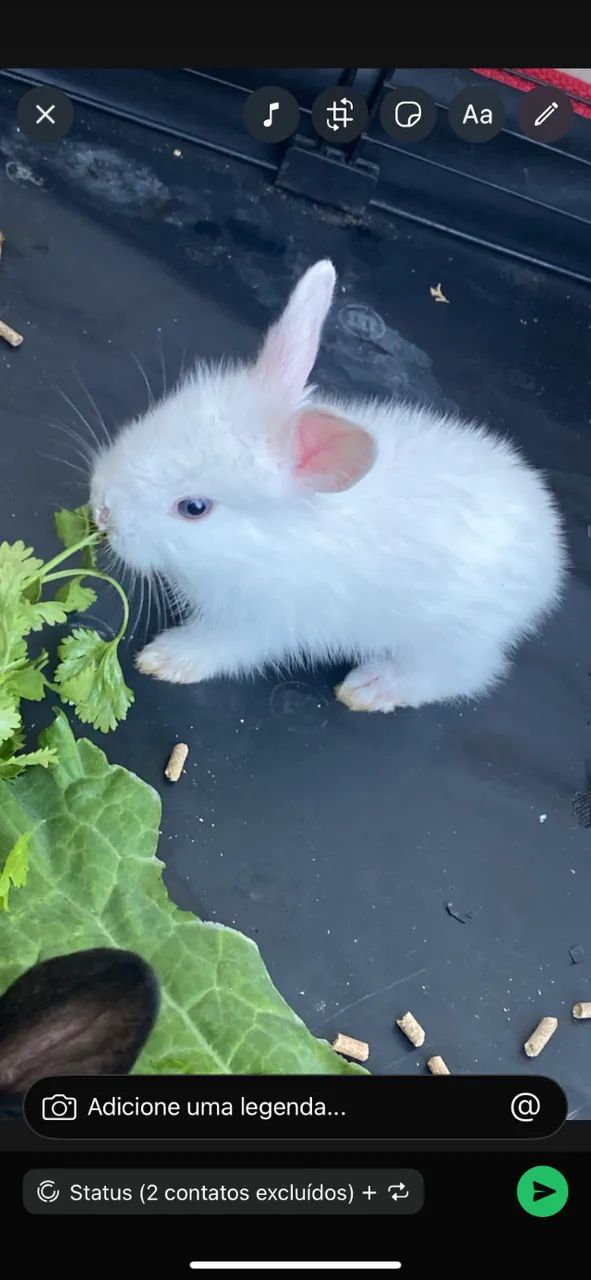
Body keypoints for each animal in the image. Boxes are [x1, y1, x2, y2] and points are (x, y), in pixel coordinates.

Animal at [90, 259, 566, 713]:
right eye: (153, 420)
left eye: (194, 508)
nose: (102, 510)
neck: (263, 545)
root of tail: (549, 549)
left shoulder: (257, 622)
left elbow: (217, 646)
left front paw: (164, 659)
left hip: (449, 640)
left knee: (461, 675)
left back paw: (370, 687)